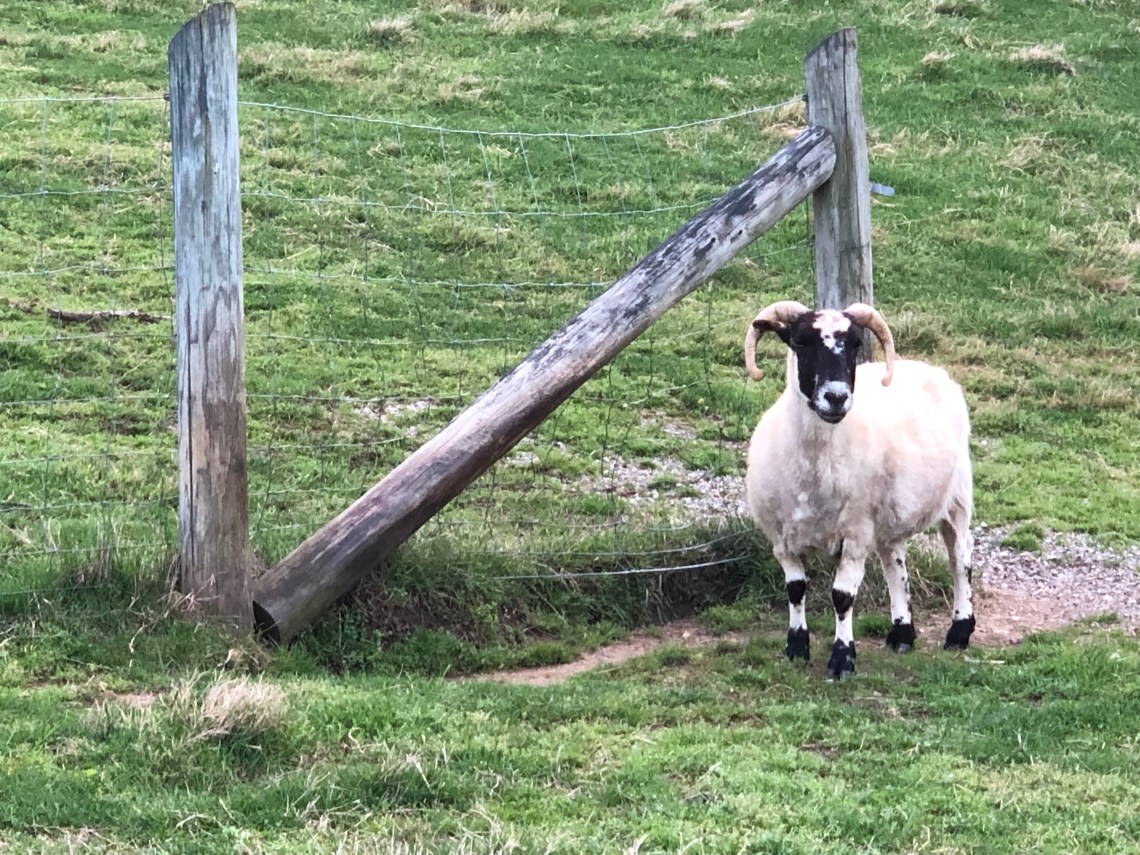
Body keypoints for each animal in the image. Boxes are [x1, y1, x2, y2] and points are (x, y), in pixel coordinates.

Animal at [743, 300, 974, 680]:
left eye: (854, 344)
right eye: (800, 341)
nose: (836, 397)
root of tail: (929, 369)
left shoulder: (855, 533)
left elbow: (842, 597)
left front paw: (842, 659)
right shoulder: (780, 538)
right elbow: (796, 589)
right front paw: (796, 647)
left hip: (957, 498)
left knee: (960, 559)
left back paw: (960, 631)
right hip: (888, 516)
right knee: (895, 562)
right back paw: (901, 634)